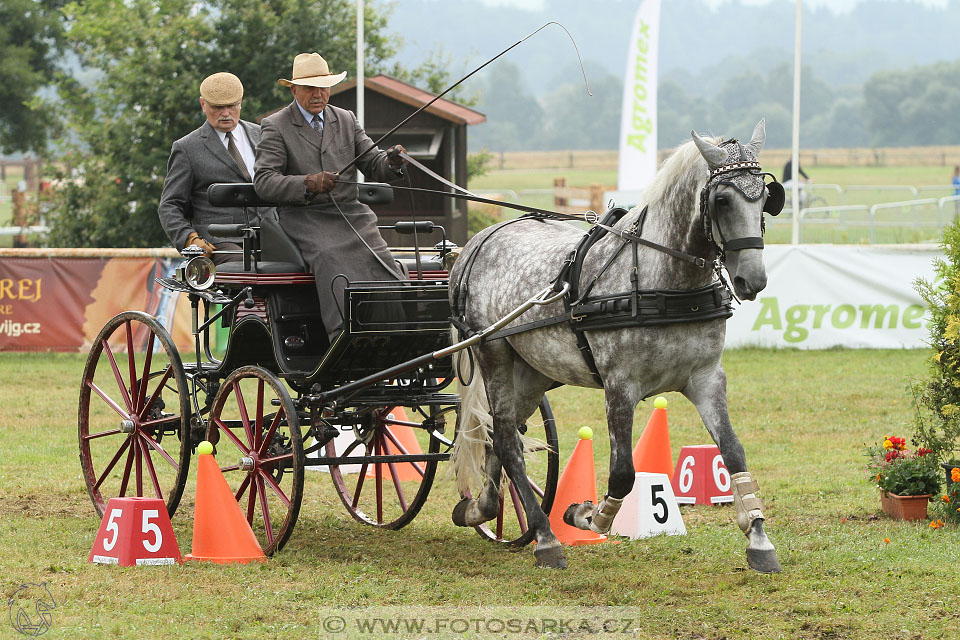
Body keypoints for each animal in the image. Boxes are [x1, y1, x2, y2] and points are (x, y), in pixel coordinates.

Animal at [448, 122, 780, 572]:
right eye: (722, 199)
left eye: (765, 197)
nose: (752, 280)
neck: (660, 281)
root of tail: (477, 241)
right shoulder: (620, 386)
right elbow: (623, 473)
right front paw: (585, 515)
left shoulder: (707, 379)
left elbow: (734, 453)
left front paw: (759, 538)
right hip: (492, 353)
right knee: (504, 439)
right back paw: (546, 537)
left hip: (533, 372)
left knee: (499, 436)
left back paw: (480, 509)